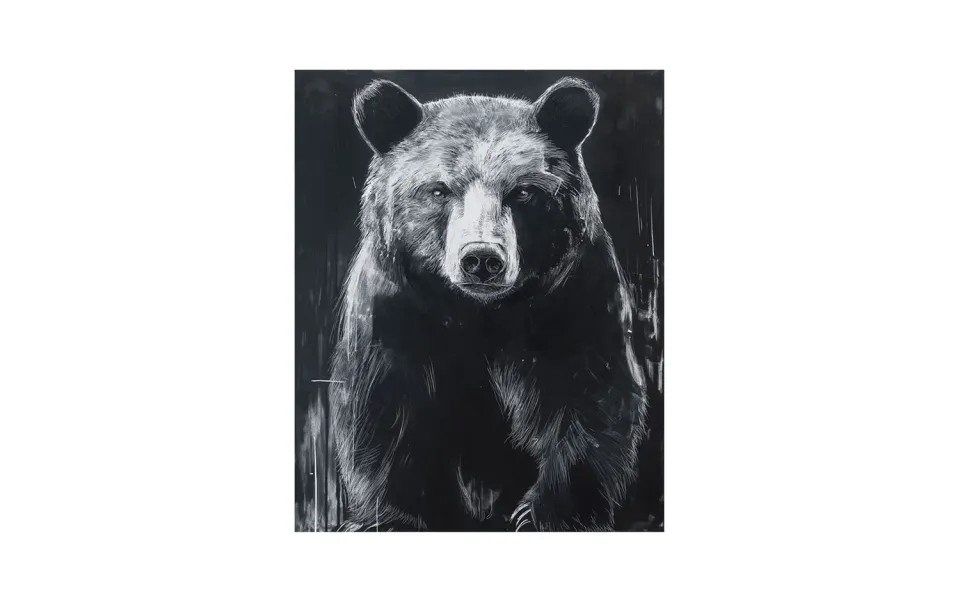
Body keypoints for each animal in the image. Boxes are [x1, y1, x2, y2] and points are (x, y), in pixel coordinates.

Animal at [329, 77, 648, 532]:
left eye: (524, 192)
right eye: (439, 189)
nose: (481, 258)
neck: (481, 313)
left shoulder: (574, 299)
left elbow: (589, 397)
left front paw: (547, 513)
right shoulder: (394, 309)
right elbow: (386, 406)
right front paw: (393, 516)